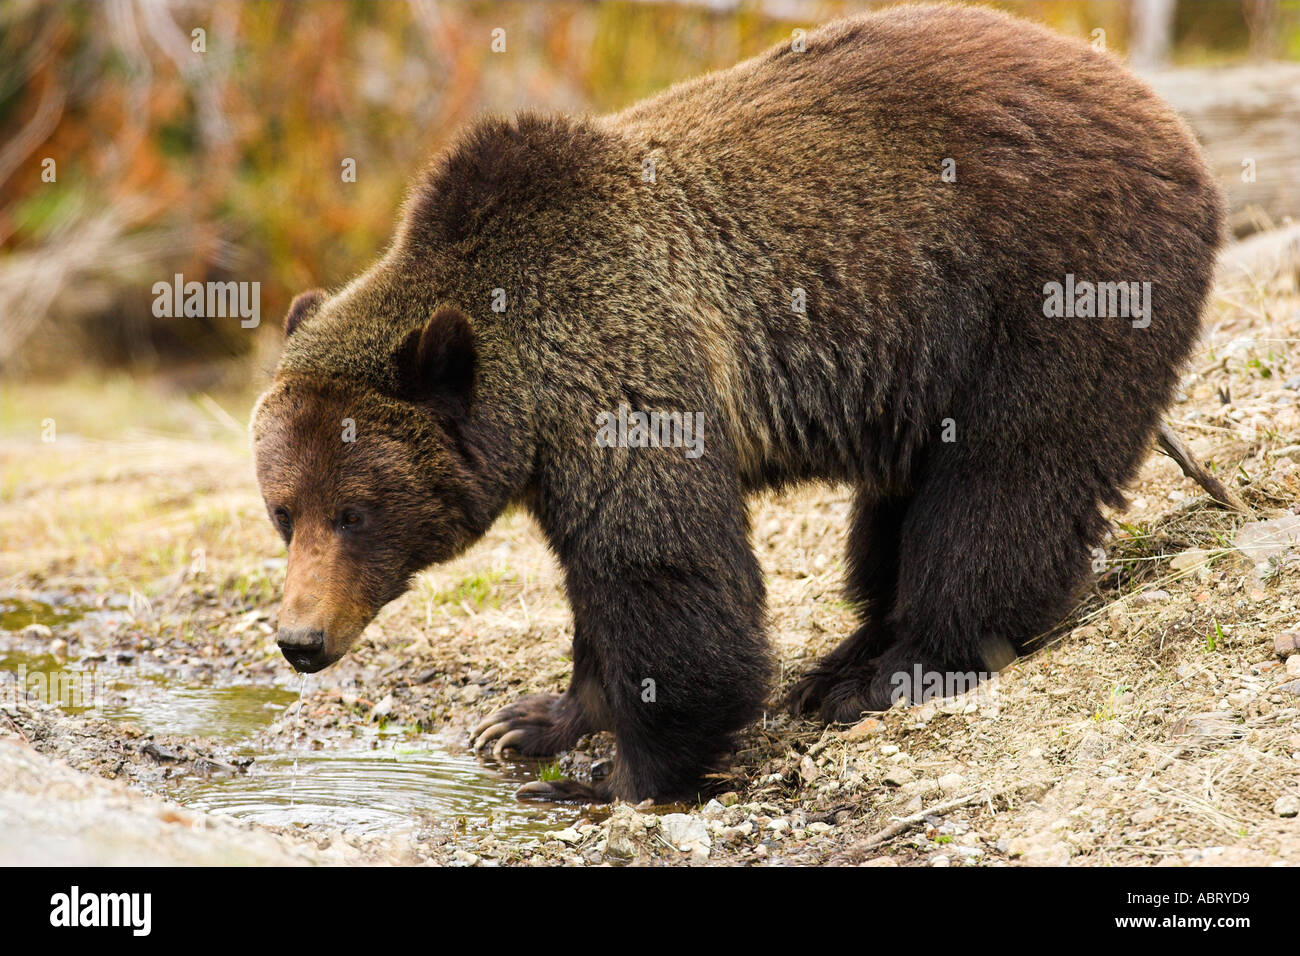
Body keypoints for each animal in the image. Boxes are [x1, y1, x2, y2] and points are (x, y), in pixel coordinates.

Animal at [251, 3, 1225, 804]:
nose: (299, 639)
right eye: (282, 512)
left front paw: (616, 777)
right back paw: (845, 658)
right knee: (903, 506)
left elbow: (665, 573)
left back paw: (893, 670)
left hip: (1050, 288)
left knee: (1006, 483)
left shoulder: (629, 373)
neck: (529, 387)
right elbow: (600, 587)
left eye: (355, 512)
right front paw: (529, 721)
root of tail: (1161, 115)